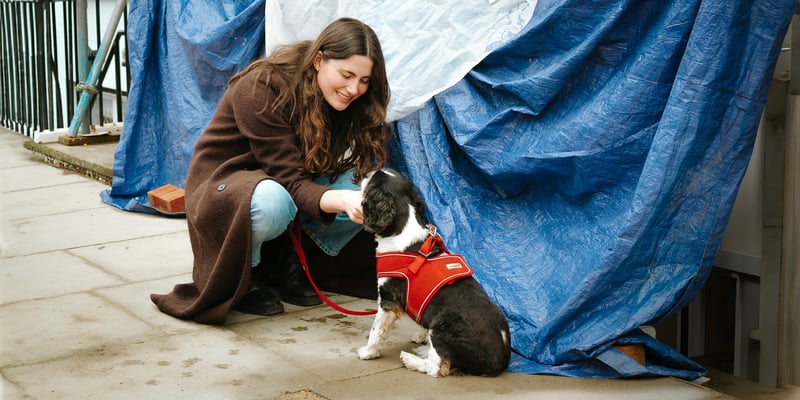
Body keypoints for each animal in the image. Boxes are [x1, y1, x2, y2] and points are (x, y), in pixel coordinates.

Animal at [358, 169, 512, 378]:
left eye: (372, 178)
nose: (365, 172)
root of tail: (500, 362)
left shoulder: (389, 300)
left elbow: (376, 329)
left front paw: (368, 352)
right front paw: (420, 337)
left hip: (444, 327)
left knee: (438, 367)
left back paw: (410, 359)